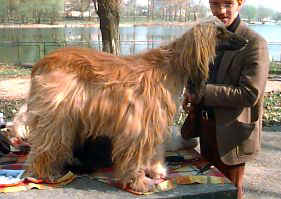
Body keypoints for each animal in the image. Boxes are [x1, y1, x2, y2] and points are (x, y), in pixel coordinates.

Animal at [21, 17, 245, 192]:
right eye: (221, 32)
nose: (244, 41)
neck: (170, 67)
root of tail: (41, 63)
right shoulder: (139, 123)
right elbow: (136, 155)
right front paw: (138, 182)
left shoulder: (154, 121)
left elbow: (153, 150)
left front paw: (154, 171)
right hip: (56, 114)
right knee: (45, 145)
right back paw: (44, 174)